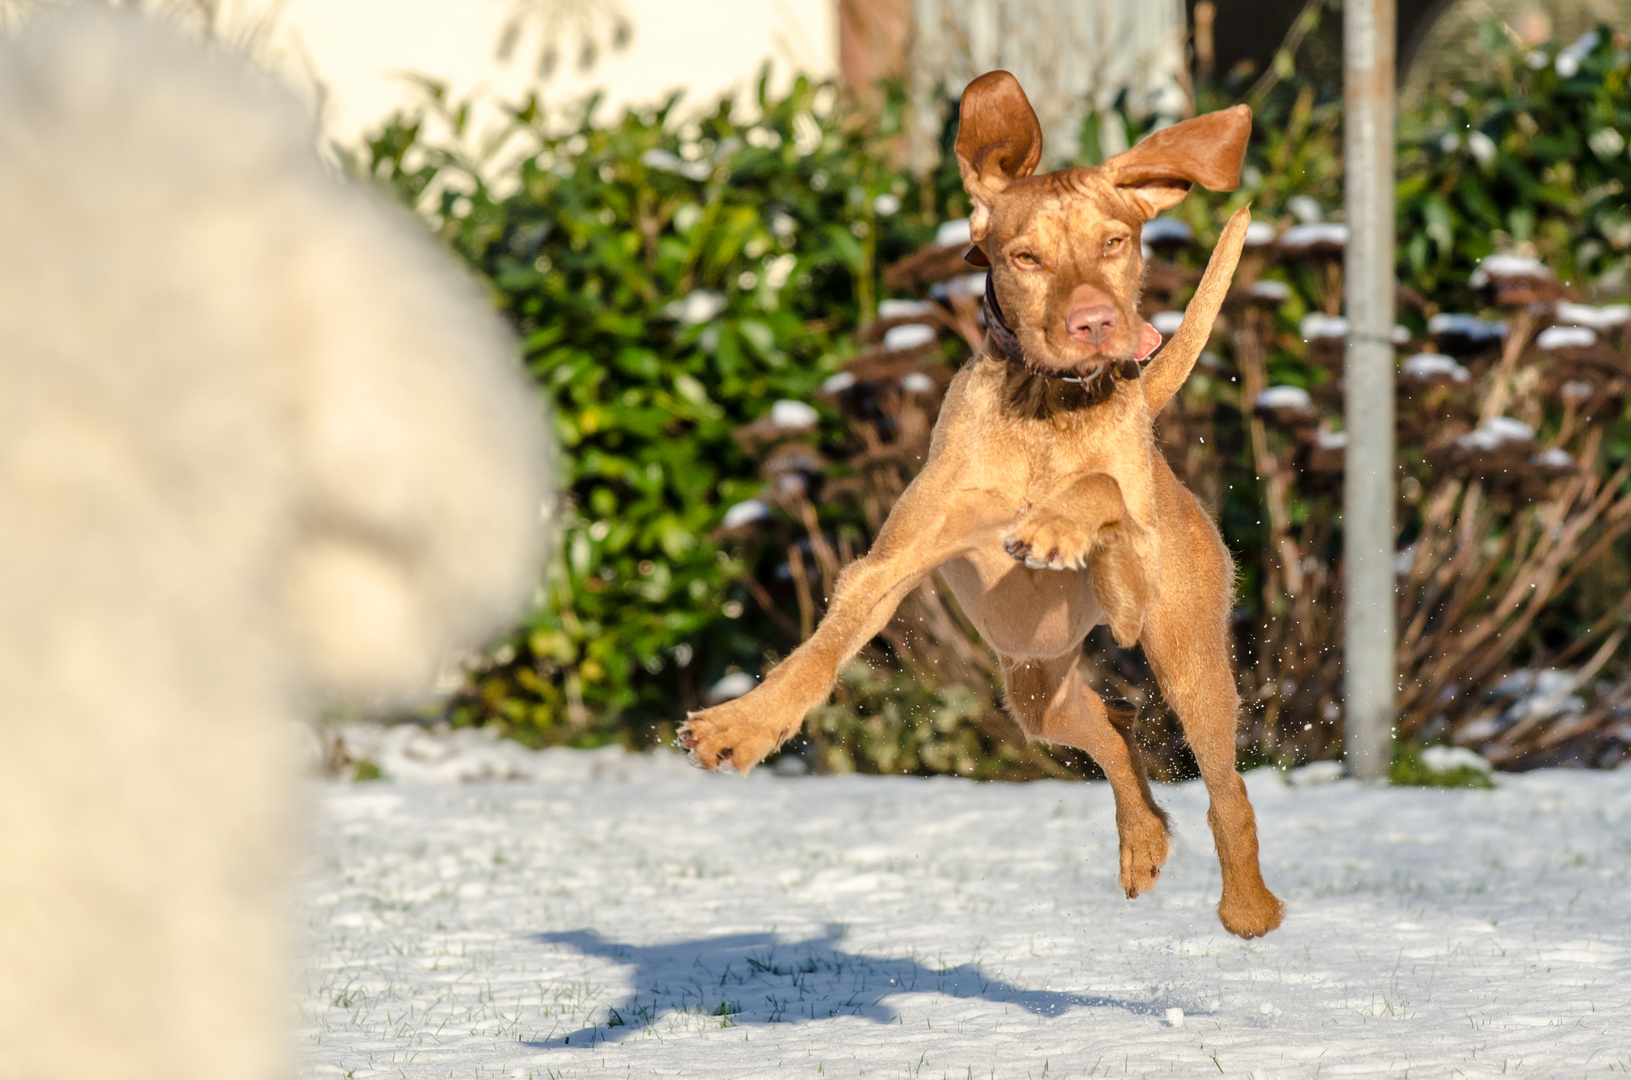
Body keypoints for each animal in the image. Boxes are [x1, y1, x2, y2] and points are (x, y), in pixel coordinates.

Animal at [678, 71, 1285, 946]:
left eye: (1115, 242)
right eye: (1025, 257)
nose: (1096, 324)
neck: (1048, 413)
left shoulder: (1131, 596)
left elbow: (1101, 489)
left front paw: (1057, 521)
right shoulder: (886, 567)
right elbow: (816, 656)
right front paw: (743, 726)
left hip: (1185, 655)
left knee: (1225, 787)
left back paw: (1249, 907)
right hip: (1034, 679)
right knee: (1113, 723)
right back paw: (1142, 837)